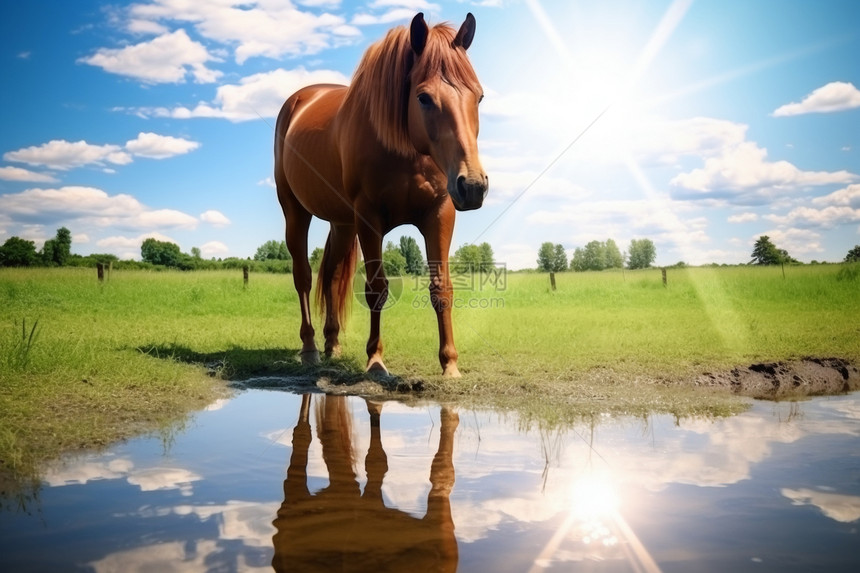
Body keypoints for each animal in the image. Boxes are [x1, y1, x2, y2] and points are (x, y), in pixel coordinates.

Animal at [278, 12, 490, 376]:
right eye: (423, 97)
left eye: (478, 97)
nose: (473, 185)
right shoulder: (369, 217)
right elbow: (376, 288)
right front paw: (375, 359)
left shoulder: (440, 213)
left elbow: (442, 288)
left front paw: (449, 363)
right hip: (296, 212)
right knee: (303, 277)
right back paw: (309, 348)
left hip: (342, 224)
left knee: (332, 275)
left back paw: (332, 343)